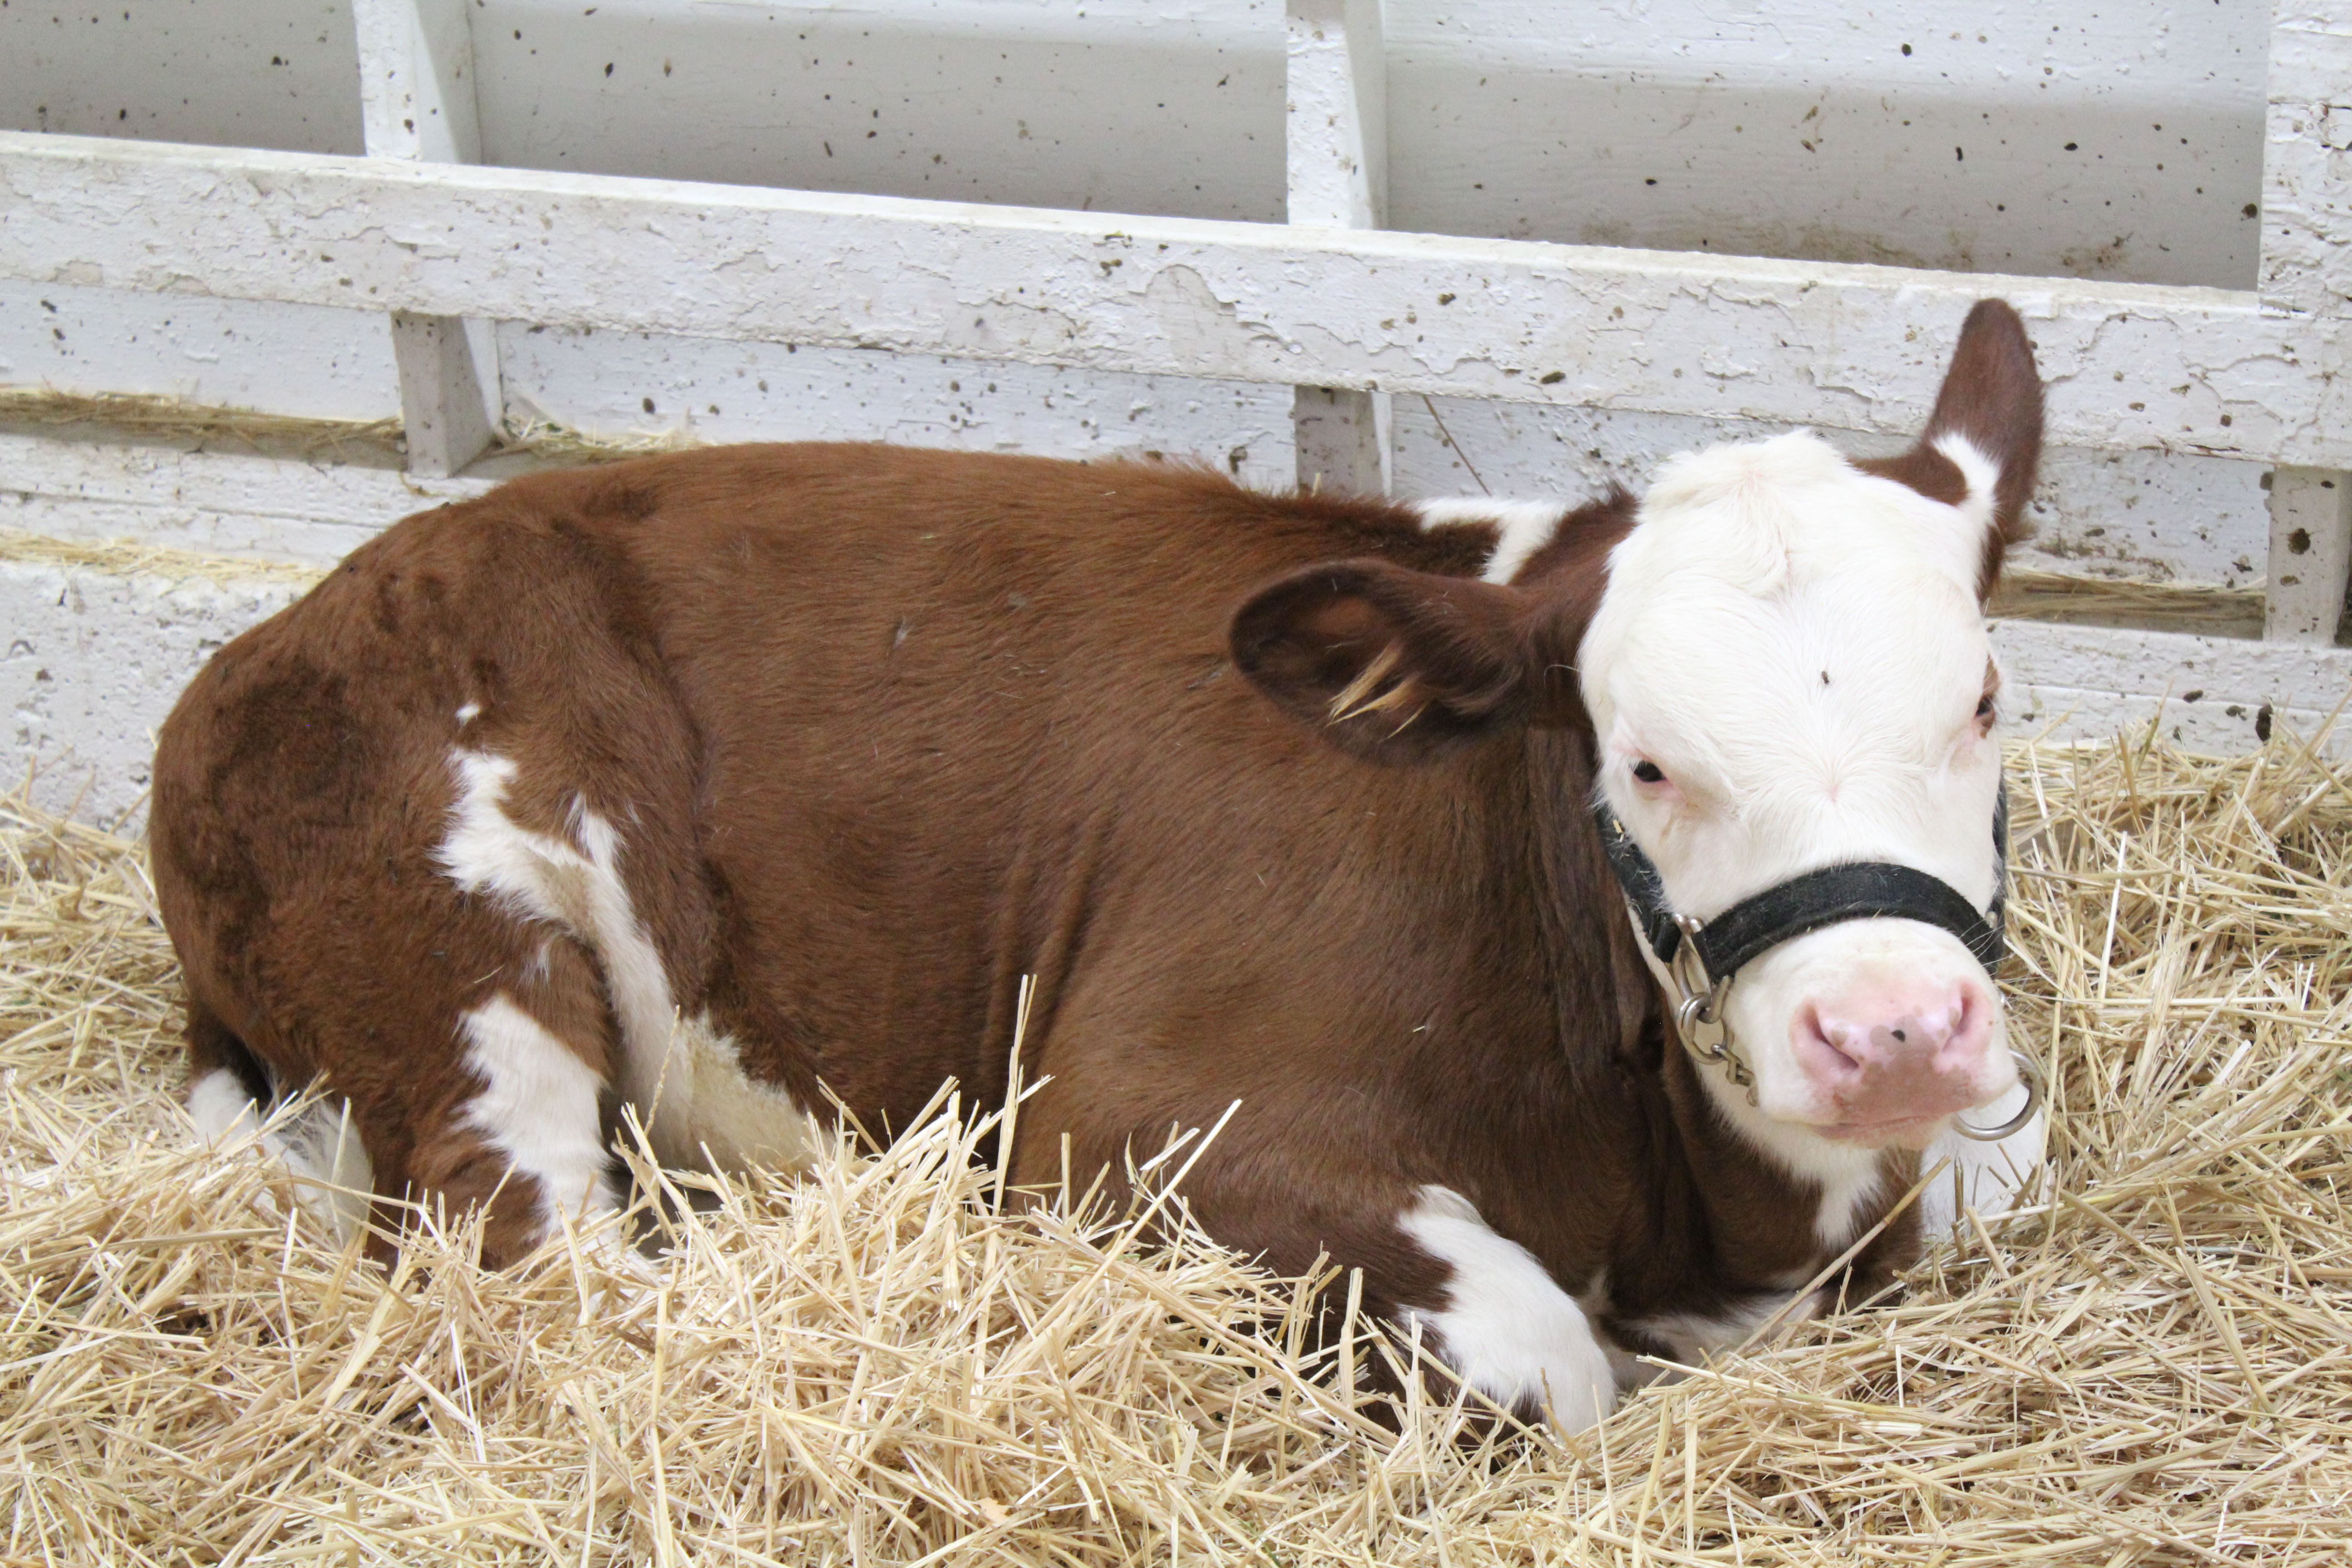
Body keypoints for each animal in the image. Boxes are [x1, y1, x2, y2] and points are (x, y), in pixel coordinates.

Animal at [153, 300, 2048, 1430]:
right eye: (1642, 758)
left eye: (1980, 699)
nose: (1891, 1032)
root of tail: (295, 619)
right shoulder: (1123, 1120)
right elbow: (1544, 1357)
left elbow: (1981, 1188)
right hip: (458, 960)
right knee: (531, 1250)